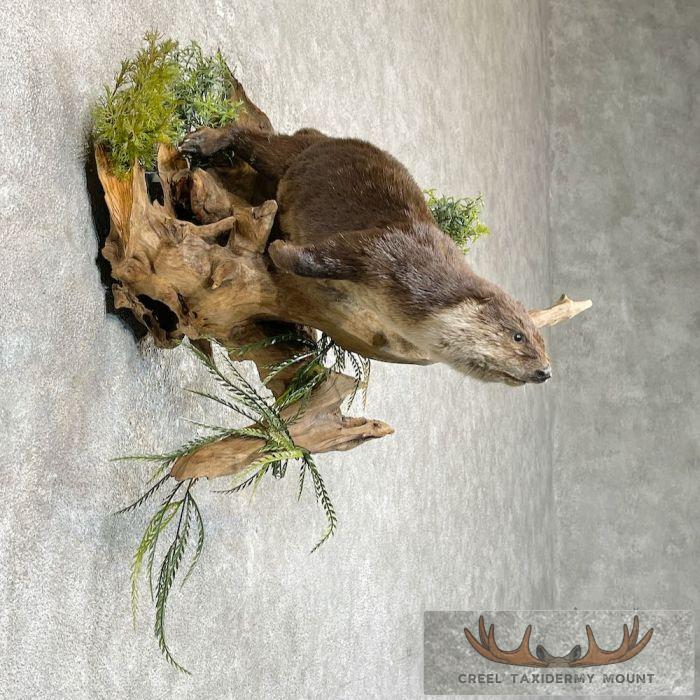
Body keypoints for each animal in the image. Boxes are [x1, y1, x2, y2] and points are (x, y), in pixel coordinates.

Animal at [179, 126, 551, 386]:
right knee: (257, 141)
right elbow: (330, 253)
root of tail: (321, 138)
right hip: (293, 160)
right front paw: (278, 249)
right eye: (518, 336)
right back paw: (199, 142)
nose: (545, 371)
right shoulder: (388, 253)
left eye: (543, 342)